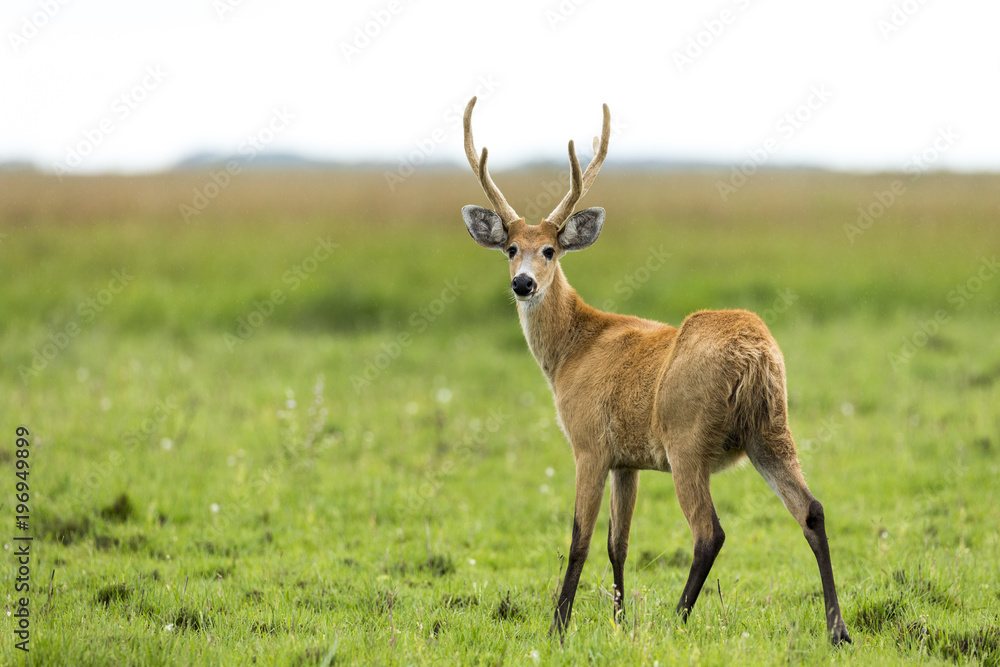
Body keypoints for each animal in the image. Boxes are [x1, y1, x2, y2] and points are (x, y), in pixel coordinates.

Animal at [459, 97, 852, 646]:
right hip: (772, 430)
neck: (573, 349)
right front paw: (619, 621)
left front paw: (559, 626)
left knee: (710, 531)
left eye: (550, 250)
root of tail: (754, 355)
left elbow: (579, 538)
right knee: (811, 510)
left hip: (688, 439)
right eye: (510, 248)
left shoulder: (589, 445)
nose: (522, 284)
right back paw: (838, 629)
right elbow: (617, 543)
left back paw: (676, 620)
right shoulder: (627, 460)